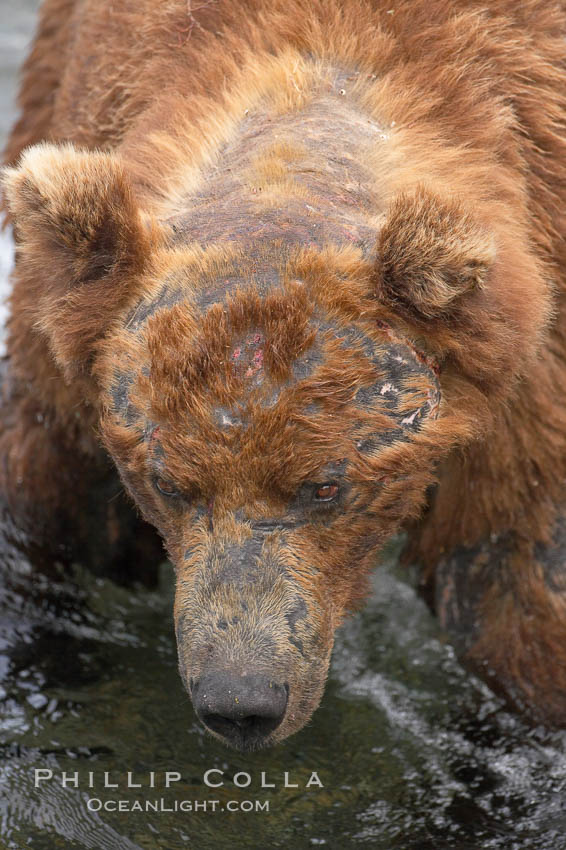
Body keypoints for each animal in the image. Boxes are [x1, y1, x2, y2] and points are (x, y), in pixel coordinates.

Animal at [3, 0, 566, 744]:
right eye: (167, 483)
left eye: (326, 486)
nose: (241, 701)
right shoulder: (63, 370)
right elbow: (49, 509)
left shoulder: (522, 403)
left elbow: (516, 597)